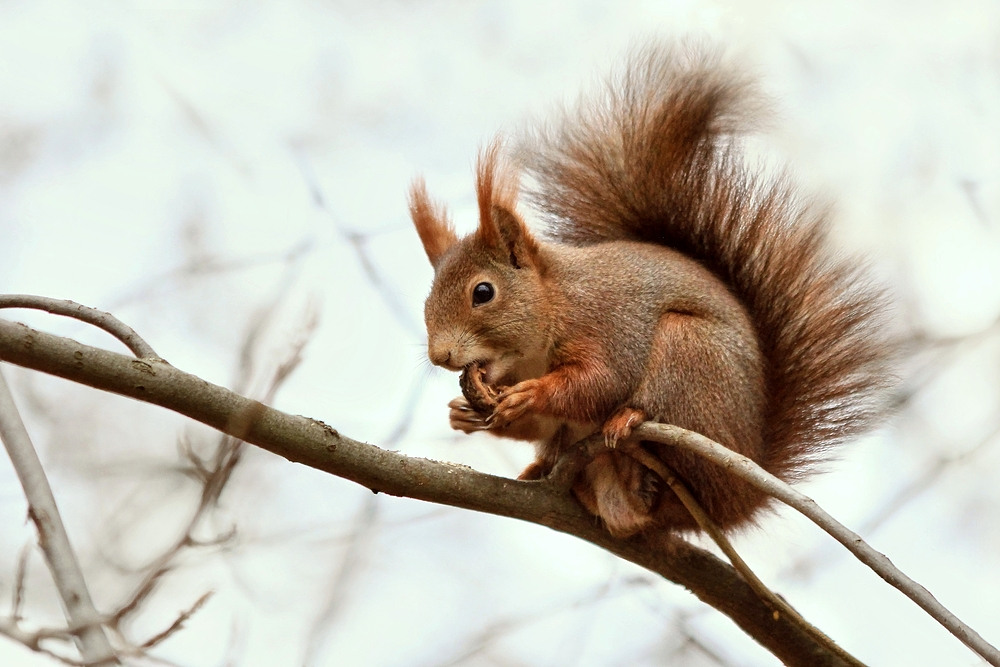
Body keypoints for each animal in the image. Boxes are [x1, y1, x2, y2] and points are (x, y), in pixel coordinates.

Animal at [406, 45, 892, 536]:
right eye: (427, 298)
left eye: (483, 292)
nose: (440, 356)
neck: (549, 315)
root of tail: (742, 498)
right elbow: (541, 425)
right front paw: (464, 412)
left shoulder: (605, 324)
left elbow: (600, 382)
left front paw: (533, 394)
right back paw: (548, 472)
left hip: (690, 354)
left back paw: (632, 426)